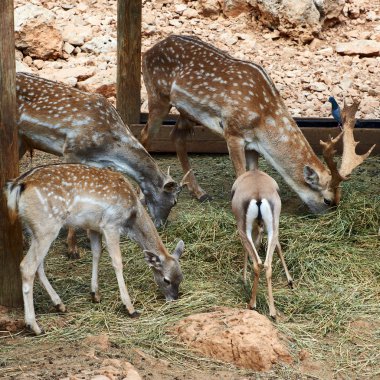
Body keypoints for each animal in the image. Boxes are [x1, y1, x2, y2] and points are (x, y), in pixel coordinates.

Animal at [4, 163, 186, 336]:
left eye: (181, 277)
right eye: (166, 280)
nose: (174, 298)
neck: (132, 215)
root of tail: (18, 185)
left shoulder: (93, 227)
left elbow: (97, 253)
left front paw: (95, 294)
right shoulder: (110, 224)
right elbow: (117, 262)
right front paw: (130, 308)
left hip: (34, 229)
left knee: (38, 266)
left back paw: (59, 305)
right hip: (47, 225)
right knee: (27, 266)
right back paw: (34, 326)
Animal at [140, 34, 374, 212]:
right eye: (327, 200)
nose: (330, 213)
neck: (264, 118)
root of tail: (147, 51)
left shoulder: (253, 145)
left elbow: (254, 175)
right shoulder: (232, 131)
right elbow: (241, 174)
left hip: (187, 112)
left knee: (176, 137)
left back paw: (200, 193)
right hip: (157, 95)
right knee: (145, 137)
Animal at [230, 168, 292, 318]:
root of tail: (258, 196)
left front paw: (244, 279)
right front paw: (289, 279)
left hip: (243, 229)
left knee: (257, 263)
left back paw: (252, 304)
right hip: (273, 228)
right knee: (267, 264)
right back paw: (273, 311)